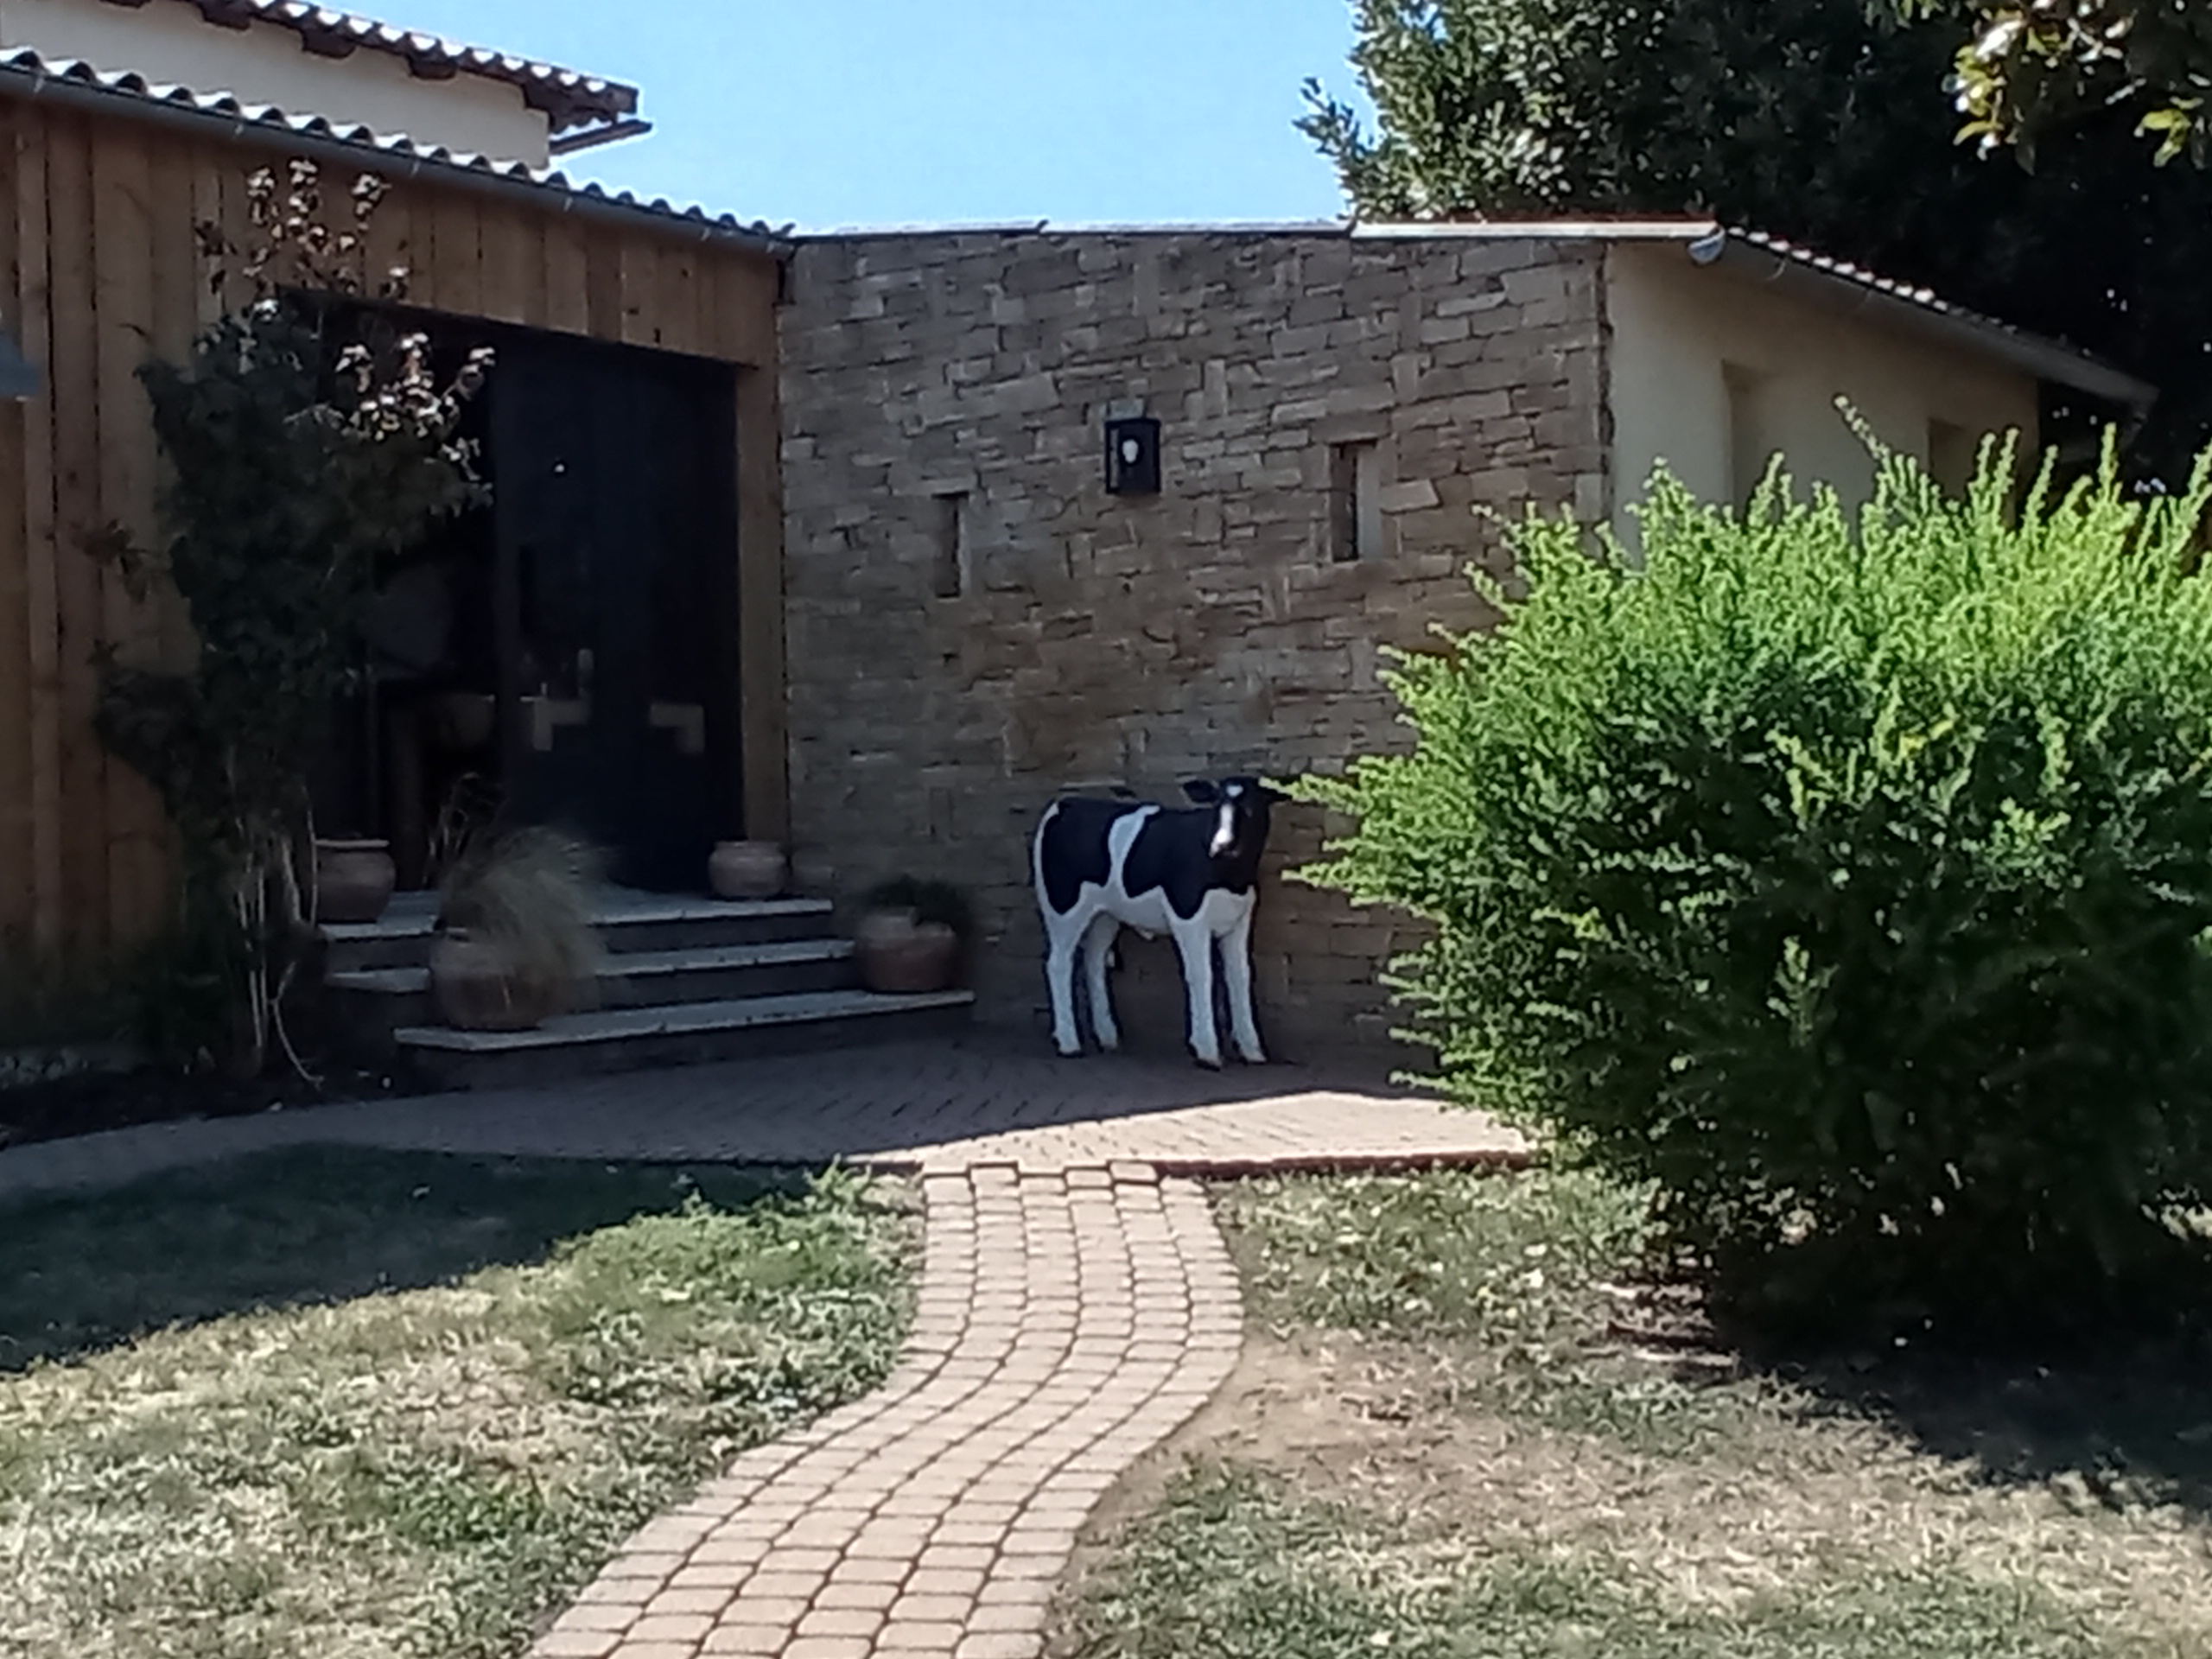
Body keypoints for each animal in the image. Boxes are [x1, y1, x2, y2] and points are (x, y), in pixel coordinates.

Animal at [1032, 778, 1281, 1069]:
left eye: (1250, 808)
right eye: (1216, 806)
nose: (1220, 846)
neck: (1232, 878)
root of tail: (1065, 803)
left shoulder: (1240, 920)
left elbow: (1240, 976)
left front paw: (1252, 1050)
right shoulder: (1188, 918)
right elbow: (1201, 974)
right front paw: (1206, 1050)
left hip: (1106, 915)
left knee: (1094, 960)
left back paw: (1107, 1036)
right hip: (1062, 907)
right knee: (1058, 963)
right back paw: (1069, 1042)